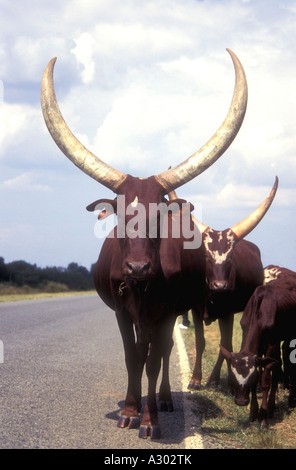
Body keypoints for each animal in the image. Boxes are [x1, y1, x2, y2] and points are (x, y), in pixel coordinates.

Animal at [41, 49, 247, 438]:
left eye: (159, 215)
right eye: (119, 215)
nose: (137, 267)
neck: (142, 286)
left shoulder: (166, 313)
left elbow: (153, 360)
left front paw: (150, 420)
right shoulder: (123, 312)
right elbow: (132, 357)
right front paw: (130, 411)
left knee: (162, 352)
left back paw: (163, 399)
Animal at [170, 176, 278, 390]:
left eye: (230, 259)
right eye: (206, 257)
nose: (220, 286)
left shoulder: (227, 314)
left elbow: (226, 345)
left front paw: (223, 380)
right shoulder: (196, 310)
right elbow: (201, 341)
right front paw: (195, 380)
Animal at [221, 264, 296, 426]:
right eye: (233, 376)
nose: (241, 402)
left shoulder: (271, 345)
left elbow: (266, 379)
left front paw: (263, 417)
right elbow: (262, 376)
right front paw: (253, 413)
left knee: (286, 363)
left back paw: (289, 399)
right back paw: (273, 406)